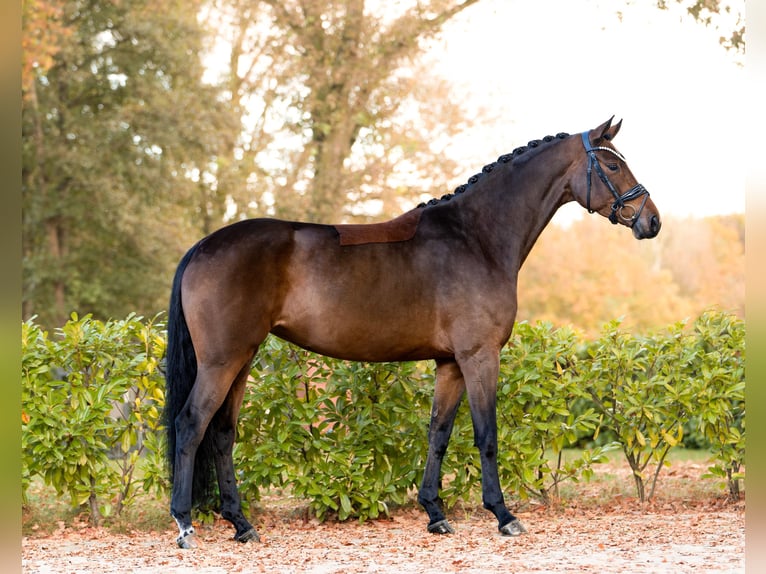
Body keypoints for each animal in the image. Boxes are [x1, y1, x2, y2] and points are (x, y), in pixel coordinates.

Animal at [165, 116, 664, 548]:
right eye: (613, 165)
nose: (652, 221)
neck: (476, 238)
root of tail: (203, 246)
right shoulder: (480, 356)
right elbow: (486, 434)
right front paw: (503, 515)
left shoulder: (450, 364)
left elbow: (438, 433)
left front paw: (435, 514)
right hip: (222, 360)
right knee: (191, 425)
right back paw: (186, 525)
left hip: (242, 360)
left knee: (223, 432)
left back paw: (242, 524)